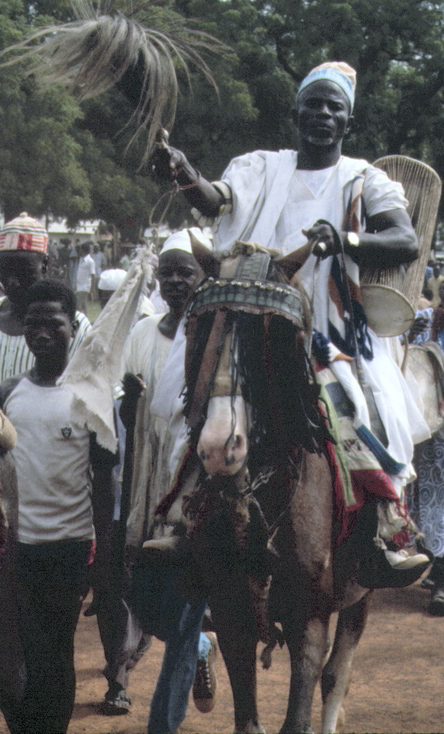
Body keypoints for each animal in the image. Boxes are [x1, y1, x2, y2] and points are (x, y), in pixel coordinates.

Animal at [160, 243, 386, 734]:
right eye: (203, 327)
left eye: (269, 336)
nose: (220, 447)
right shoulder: (231, 615)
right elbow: (248, 720)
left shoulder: (310, 618)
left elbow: (300, 714)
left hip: (362, 594)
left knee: (337, 675)